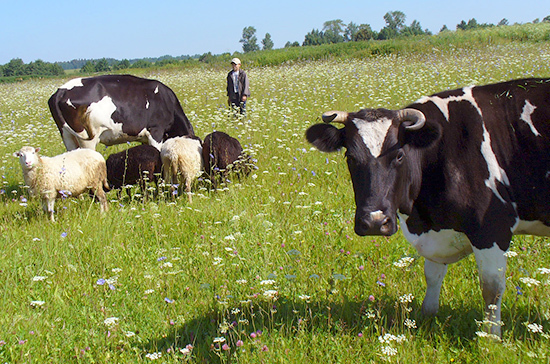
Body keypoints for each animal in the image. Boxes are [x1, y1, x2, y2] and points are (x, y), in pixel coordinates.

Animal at [308, 78, 550, 336]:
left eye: (399, 155)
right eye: (350, 158)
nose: (374, 222)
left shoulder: (492, 227)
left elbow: (491, 288)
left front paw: (491, 337)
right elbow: (432, 276)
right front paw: (426, 318)